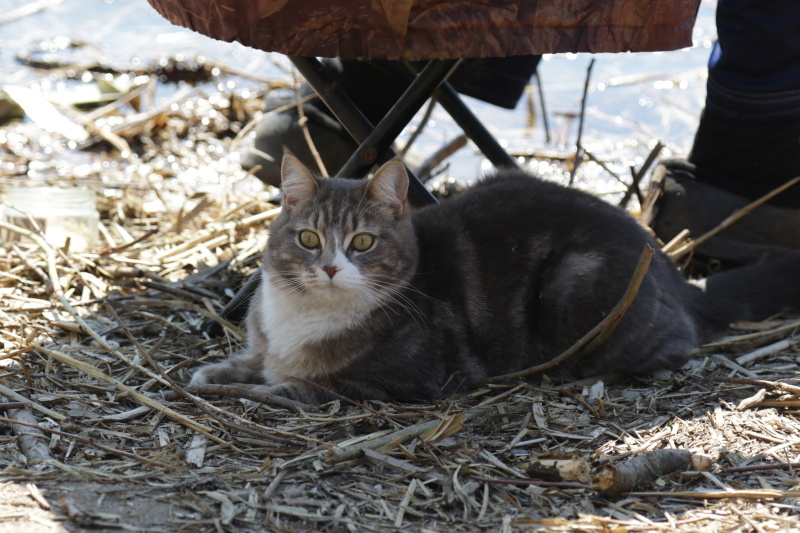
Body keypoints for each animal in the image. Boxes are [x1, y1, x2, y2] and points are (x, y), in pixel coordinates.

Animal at [189, 153, 800, 404]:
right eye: (309, 240)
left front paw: (249, 388)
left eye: (362, 242)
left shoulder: (406, 382)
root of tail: (673, 272)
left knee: (673, 346)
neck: (306, 317)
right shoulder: (267, 340)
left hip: (573, 281)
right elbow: (253, 359)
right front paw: (218, 371)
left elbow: (299, 386)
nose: (331, 267)